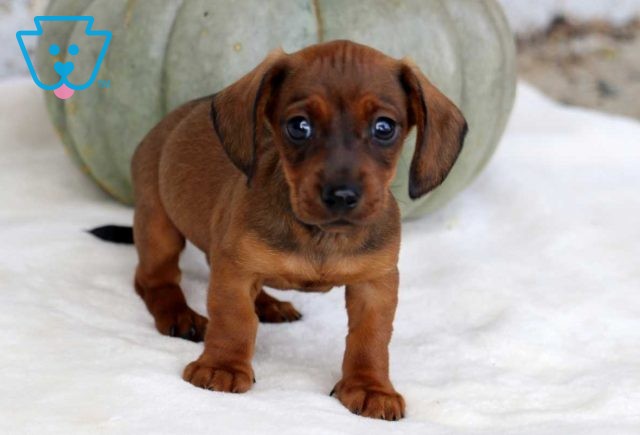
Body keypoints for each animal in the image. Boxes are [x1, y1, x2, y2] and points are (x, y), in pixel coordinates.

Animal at [120, 41, 464, 422]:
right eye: (299, 126)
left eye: (384, 127)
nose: (341, 195)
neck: (321, 236)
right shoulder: (235, 272)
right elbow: (234, 319)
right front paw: (223, 366)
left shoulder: (375, 284)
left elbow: (371, 338)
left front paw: (371, 387)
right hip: (158, 225)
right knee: (154, 281)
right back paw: (178, 313)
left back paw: (268, 304)